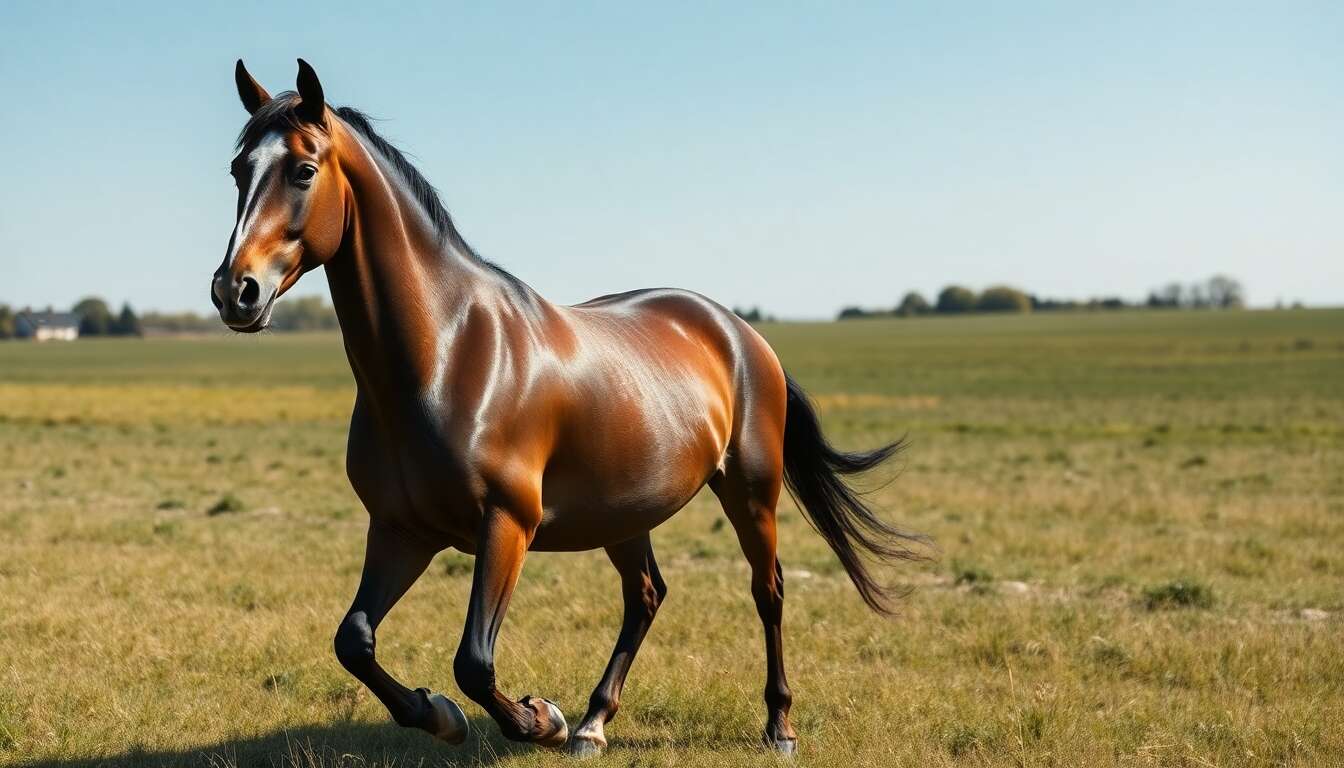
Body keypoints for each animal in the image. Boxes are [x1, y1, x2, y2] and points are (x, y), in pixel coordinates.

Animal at [212, 59, 929, 756]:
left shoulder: (508, 524)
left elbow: (473, 662)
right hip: (625, 512)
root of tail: (740, 332)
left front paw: (538, 720)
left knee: (768, 590)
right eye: (238, 170)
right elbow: (354, 640)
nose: (234, 291)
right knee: (646, 595)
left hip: (750, 491)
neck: (448, 354)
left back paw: (776, 726)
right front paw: (441, 716)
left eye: (304, 170)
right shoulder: (400, 529)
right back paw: (593, 724)